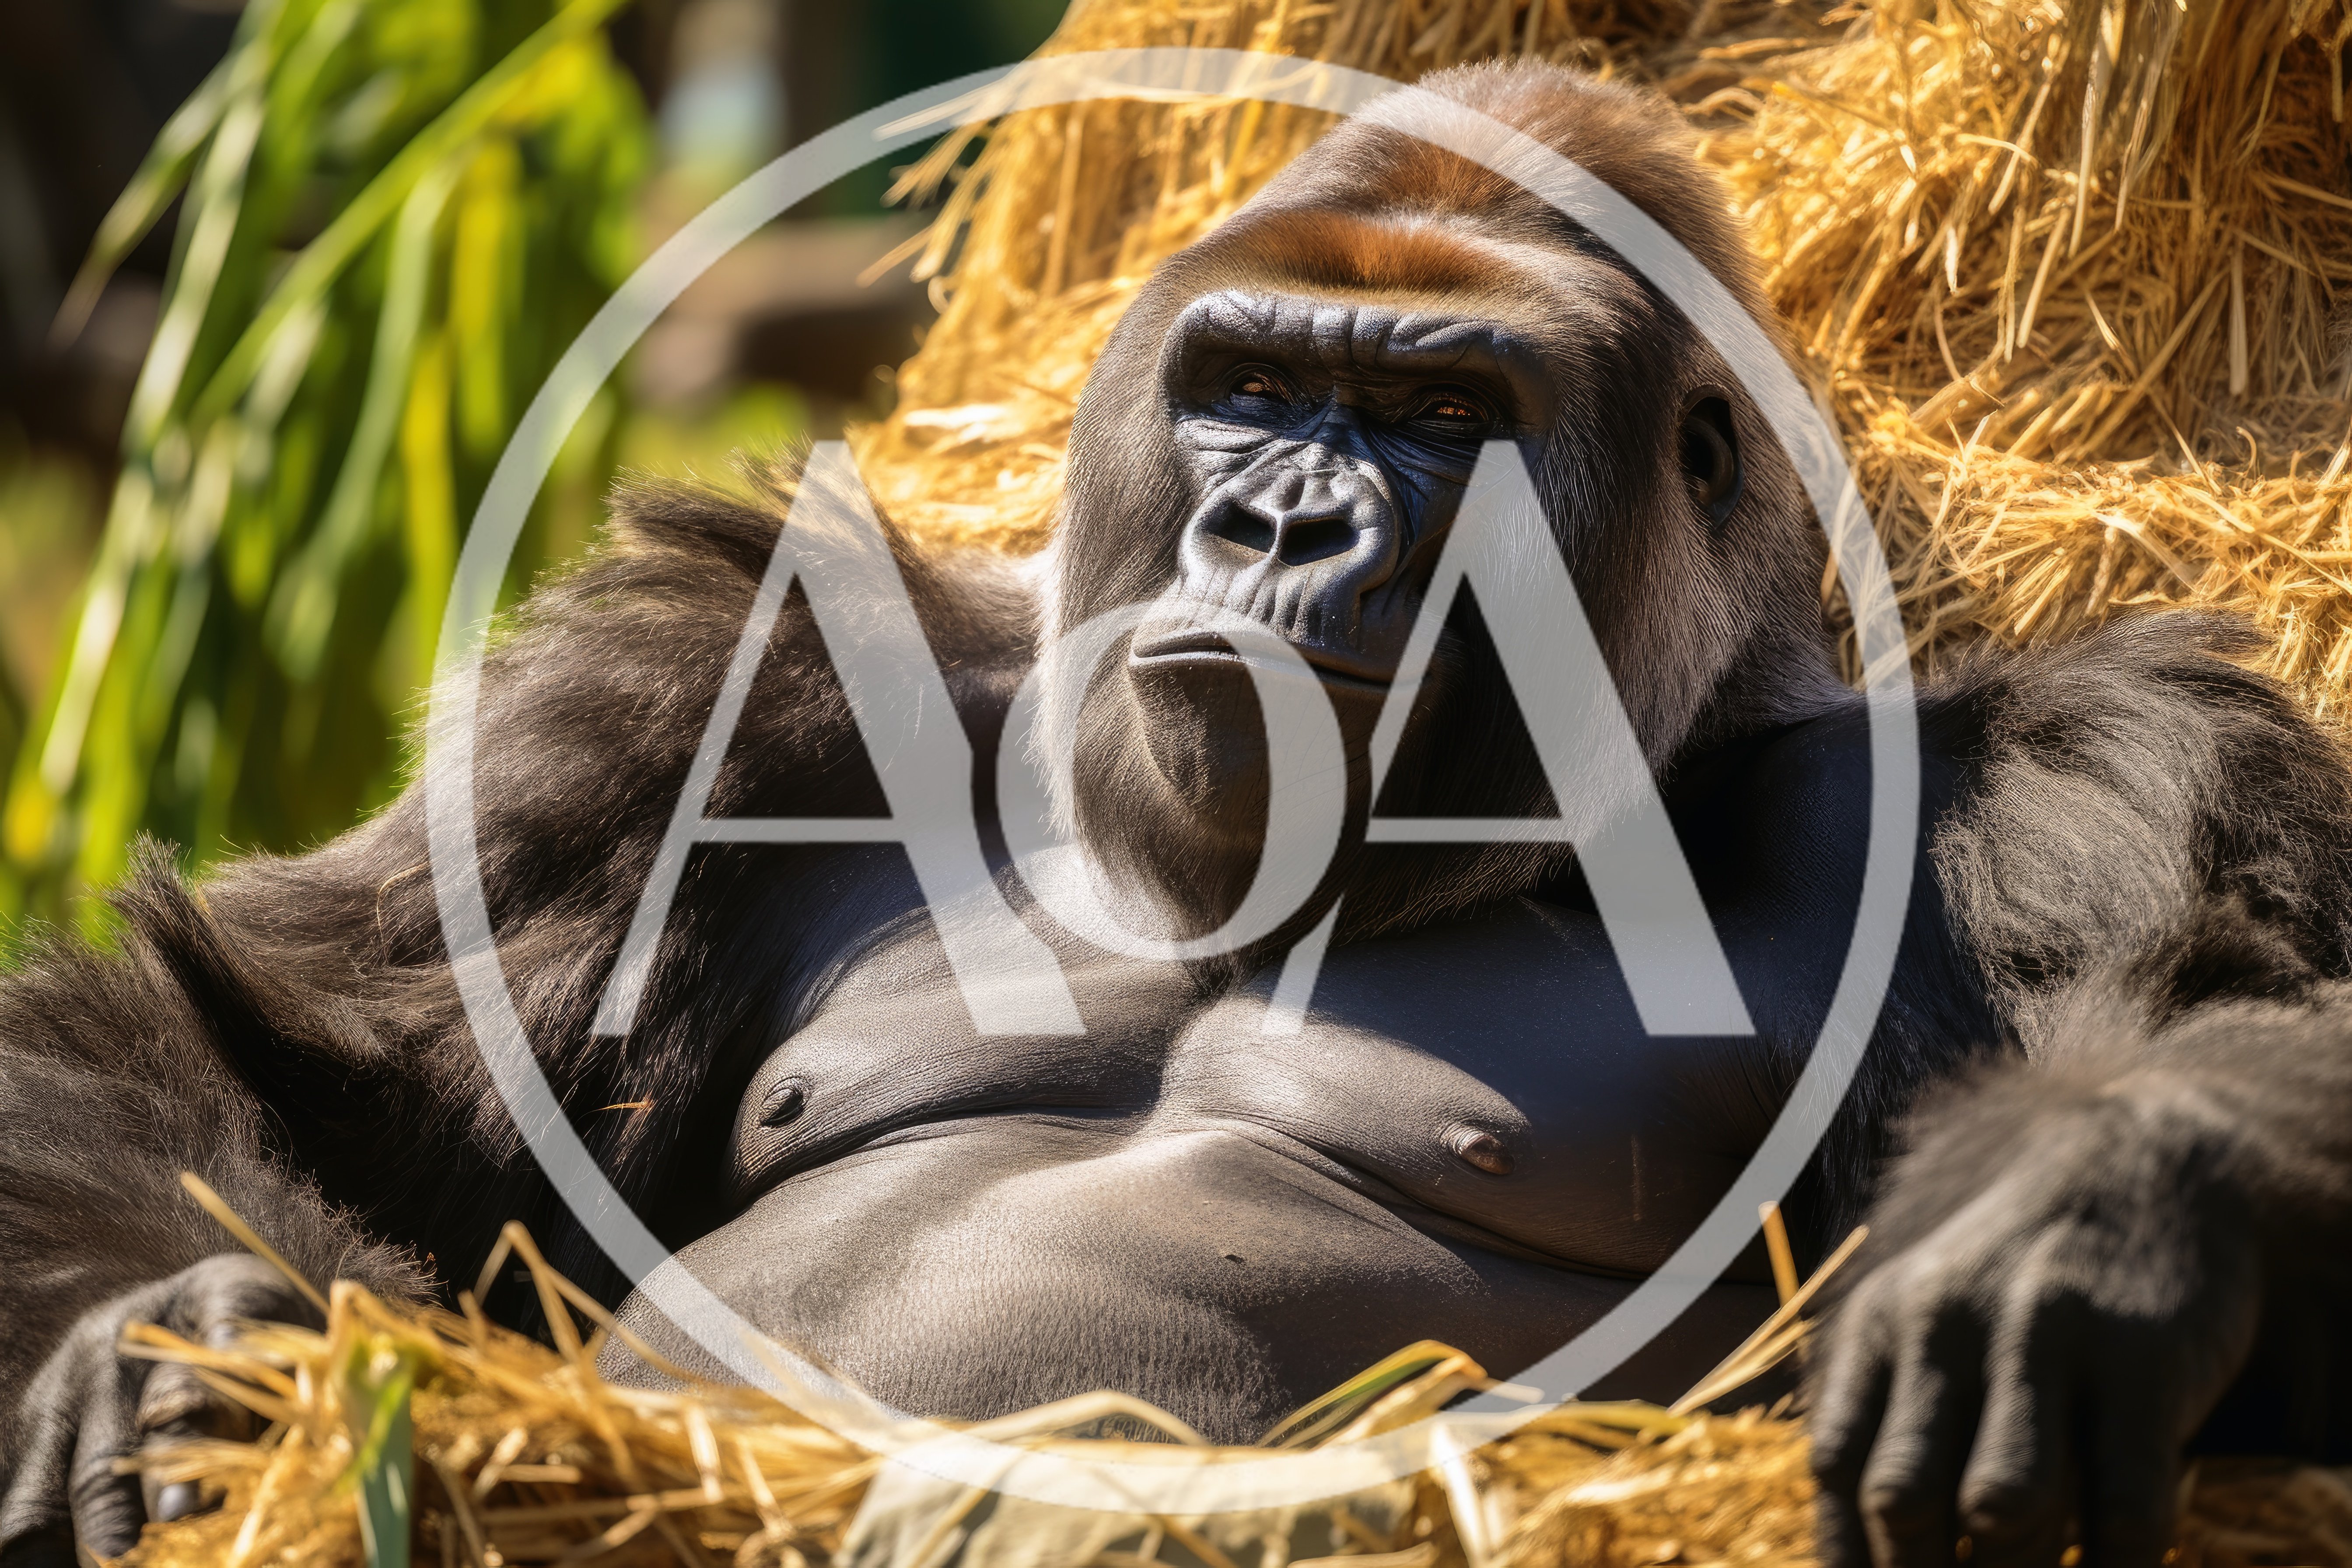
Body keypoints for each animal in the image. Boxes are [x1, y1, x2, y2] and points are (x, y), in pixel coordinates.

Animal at [5, 59, 2352, 1568]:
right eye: (1252, 385)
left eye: (1439, 411)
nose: (1278, 522)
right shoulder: (712, 690)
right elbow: (260, 1043)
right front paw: (179, 1336)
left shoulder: (2022, 775)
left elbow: (2214, 1002)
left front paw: (2103, 1199)